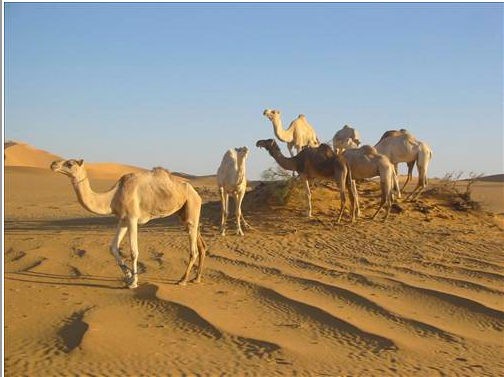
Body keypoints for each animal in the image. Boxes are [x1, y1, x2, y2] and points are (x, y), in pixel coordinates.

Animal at [50, 159, 207, 288]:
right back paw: (196, 278)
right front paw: (128, 276)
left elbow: (133, 252)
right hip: (184, 213)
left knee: (193, 249)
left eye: (70, 163)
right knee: (200, 243)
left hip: (192, 205)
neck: (113, 196)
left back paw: (183, 280)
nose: (53, 164)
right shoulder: (123, 219)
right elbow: (113, 248)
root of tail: (196, 193)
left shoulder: (132, 218)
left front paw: (134, 282)